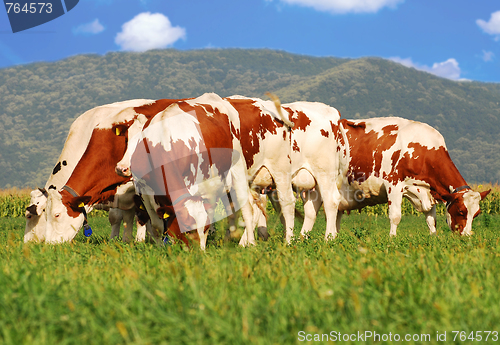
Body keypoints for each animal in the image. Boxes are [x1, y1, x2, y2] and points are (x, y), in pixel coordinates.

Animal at [296, 117, 488, 235]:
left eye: (477, 213)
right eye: (461, 211)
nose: (467, 236)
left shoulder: (426, 190)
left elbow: (431, 219)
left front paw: (434, 238)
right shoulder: (394, 184)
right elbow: (395, 216)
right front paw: (392, 239)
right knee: (311, 213)